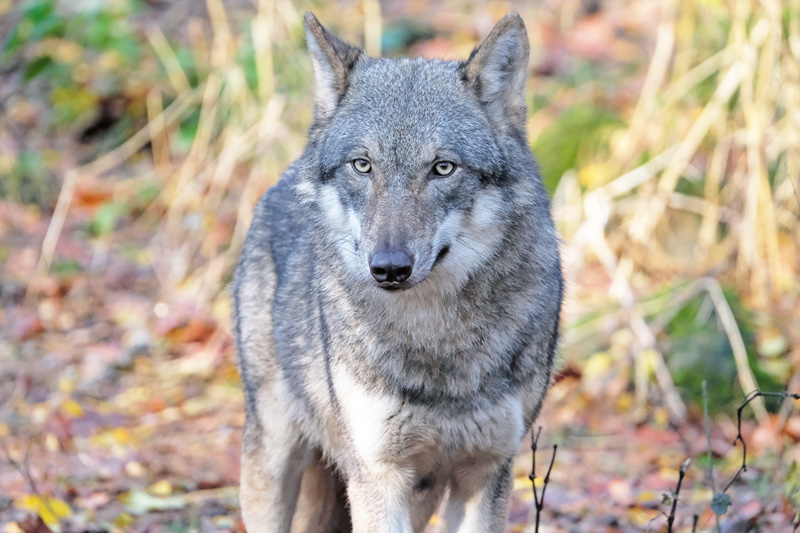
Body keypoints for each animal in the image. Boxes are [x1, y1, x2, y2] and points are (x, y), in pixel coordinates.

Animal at [231, 12, 564, 532]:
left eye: (443, 168)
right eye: (362, 165)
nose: (388, 268)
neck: (436, 340)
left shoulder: (485, 472)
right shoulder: (378, 476)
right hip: (273, 458)